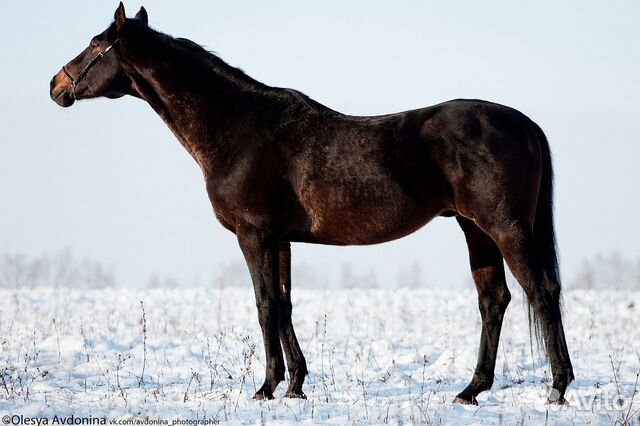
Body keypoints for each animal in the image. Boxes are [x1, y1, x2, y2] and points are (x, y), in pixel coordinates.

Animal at [47, 2, 572, 402]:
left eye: (95, 45)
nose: (56, 85)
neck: (237, 128)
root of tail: (524, 124)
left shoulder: (254, 234)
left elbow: (264, 305)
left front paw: (265, 387)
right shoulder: (280, 238)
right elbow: (284, 304)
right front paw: (296, 385)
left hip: (504, 227)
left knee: (542, 292)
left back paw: (557, 388)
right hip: (474, 229)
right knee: (494, 300)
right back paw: (470, 391)